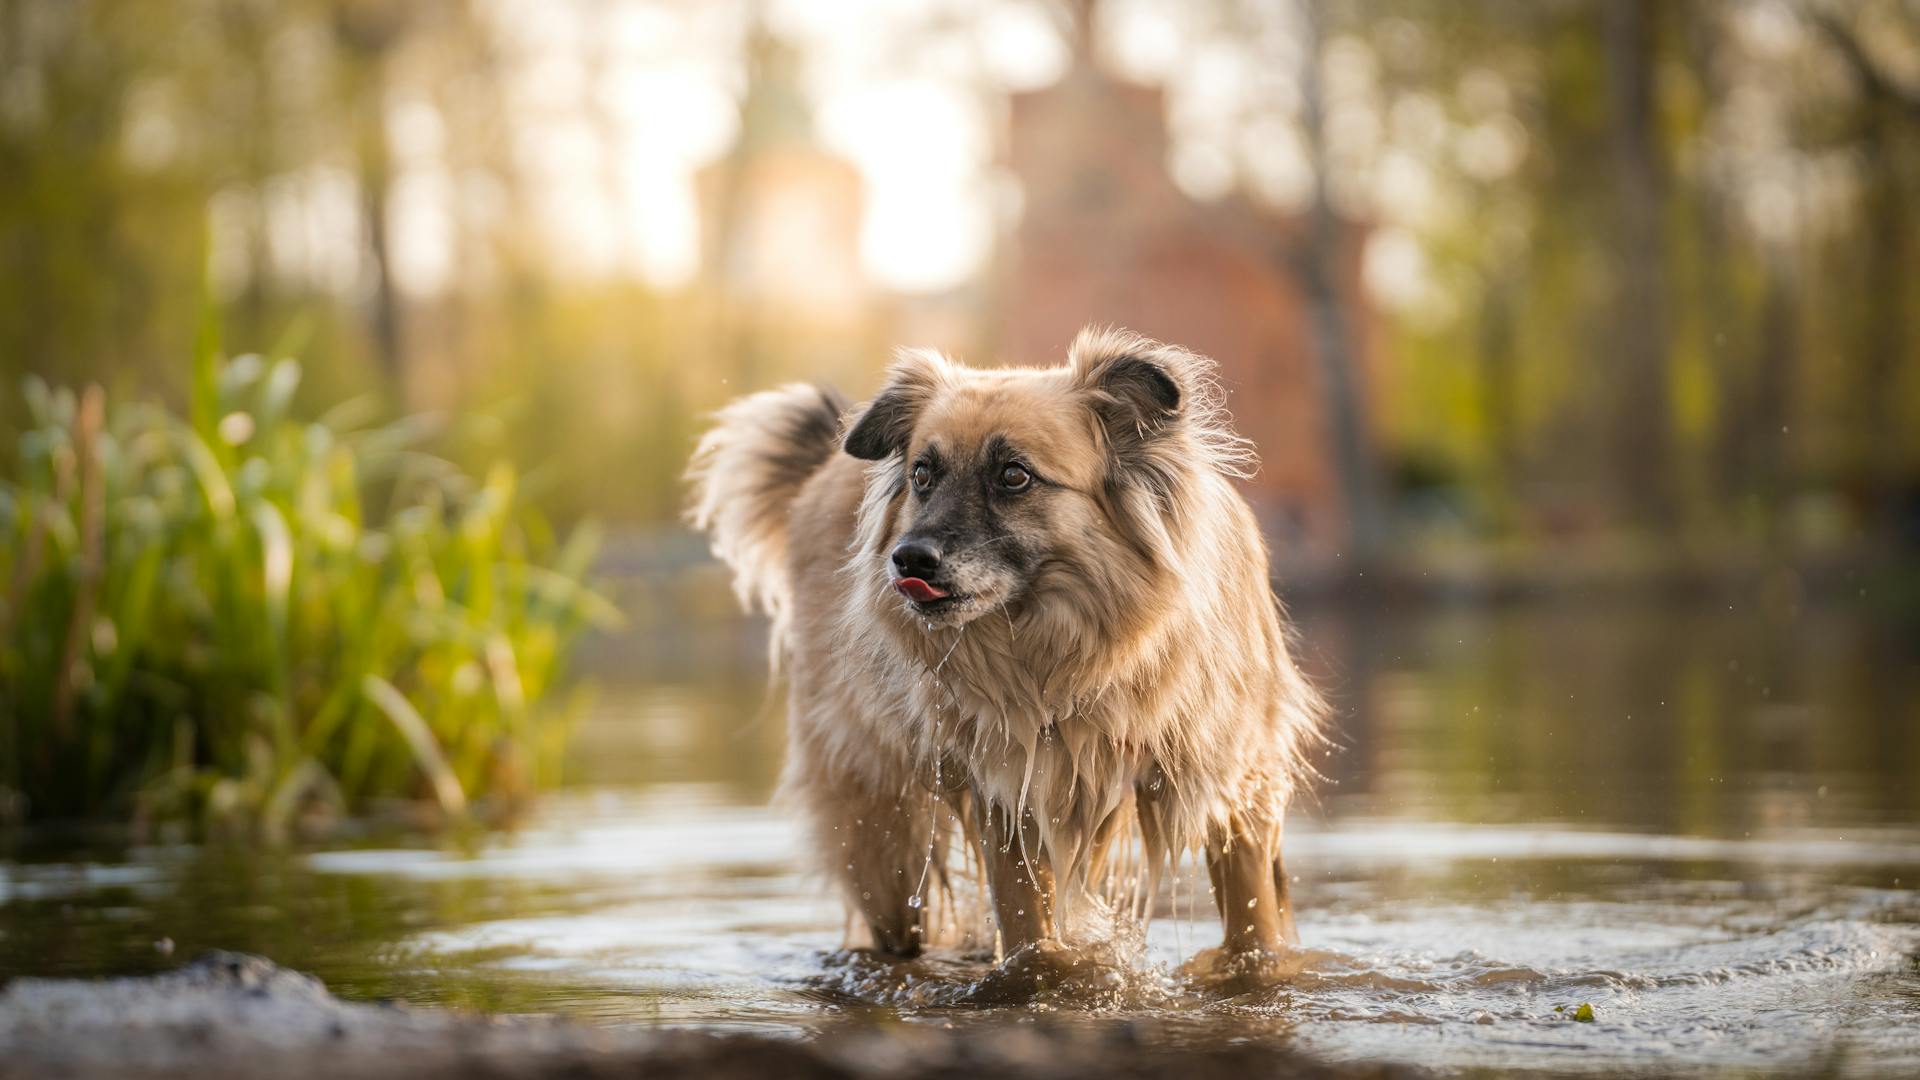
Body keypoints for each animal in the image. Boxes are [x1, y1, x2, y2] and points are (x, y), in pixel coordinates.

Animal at [683, 326, 1328, 957]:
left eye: (1014, 475)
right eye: (922, 475)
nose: (907, 560)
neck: (1087, 658)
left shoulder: (1235, 791)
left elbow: (1255, 930)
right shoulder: (1012, 796)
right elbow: (1028, 930)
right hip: (879, 832)